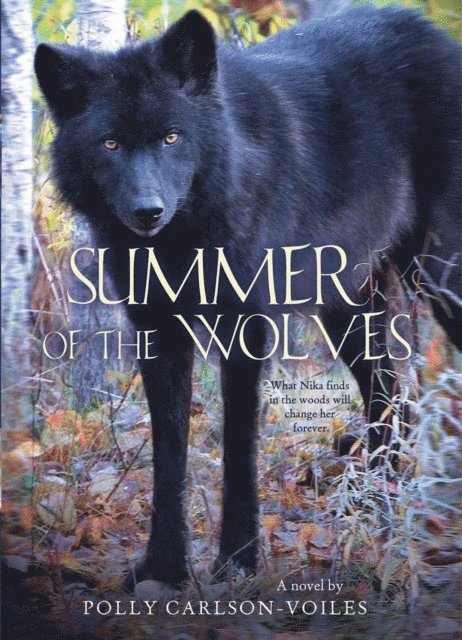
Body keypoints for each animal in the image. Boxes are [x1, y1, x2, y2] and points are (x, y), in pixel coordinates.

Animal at [35, 6, 461, 588]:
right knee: (392, 404)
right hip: (352, 312)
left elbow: (238, 445)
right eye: (110, 144)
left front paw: (237, 560)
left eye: (172, 138)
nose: (147, 211)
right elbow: (168, 454)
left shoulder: (248, 327)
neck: (187, 237)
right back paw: (376, 521)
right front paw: (163, 567)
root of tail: (432, 32)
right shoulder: (157, 331)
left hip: (441, 282)